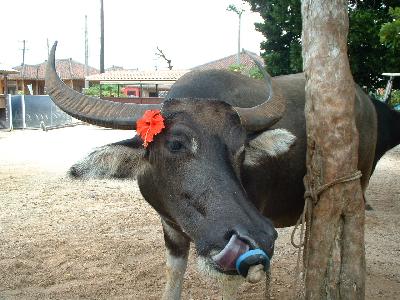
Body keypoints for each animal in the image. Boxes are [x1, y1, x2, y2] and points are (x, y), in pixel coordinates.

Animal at [45, 41, 398, 298]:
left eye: (240, 149)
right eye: (176, 144)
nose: (257, 235)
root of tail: (366, 103)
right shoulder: (170, 227)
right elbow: (173, 276)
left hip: (356, 183)